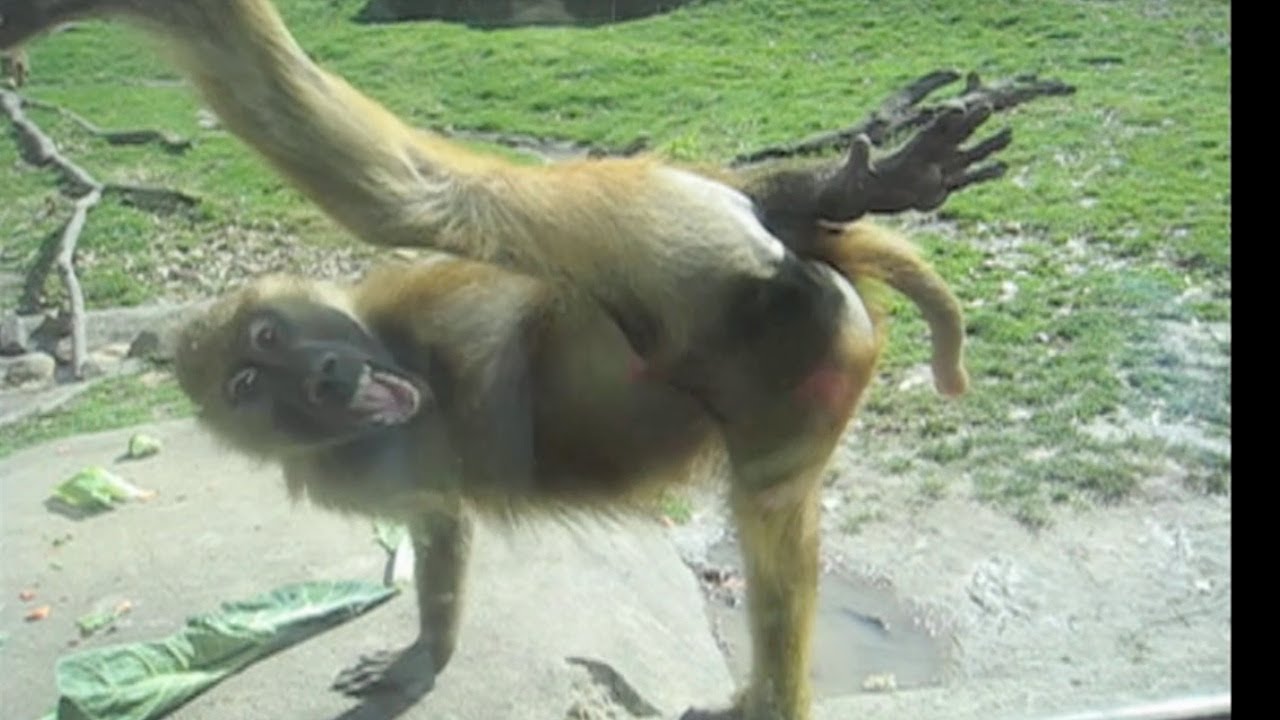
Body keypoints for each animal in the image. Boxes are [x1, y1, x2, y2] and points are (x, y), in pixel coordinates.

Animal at [2, 2, 1017, 718]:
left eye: (268, 340)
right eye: (253, 387)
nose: (326, 380)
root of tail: (797, 273)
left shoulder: (414, 308)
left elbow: (481, 262)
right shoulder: (352, 470)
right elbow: (438, 526)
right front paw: (424, 652)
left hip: (721, 276)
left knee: (438, 201)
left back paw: (821, 191)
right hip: (808, 370)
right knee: (772, 515)